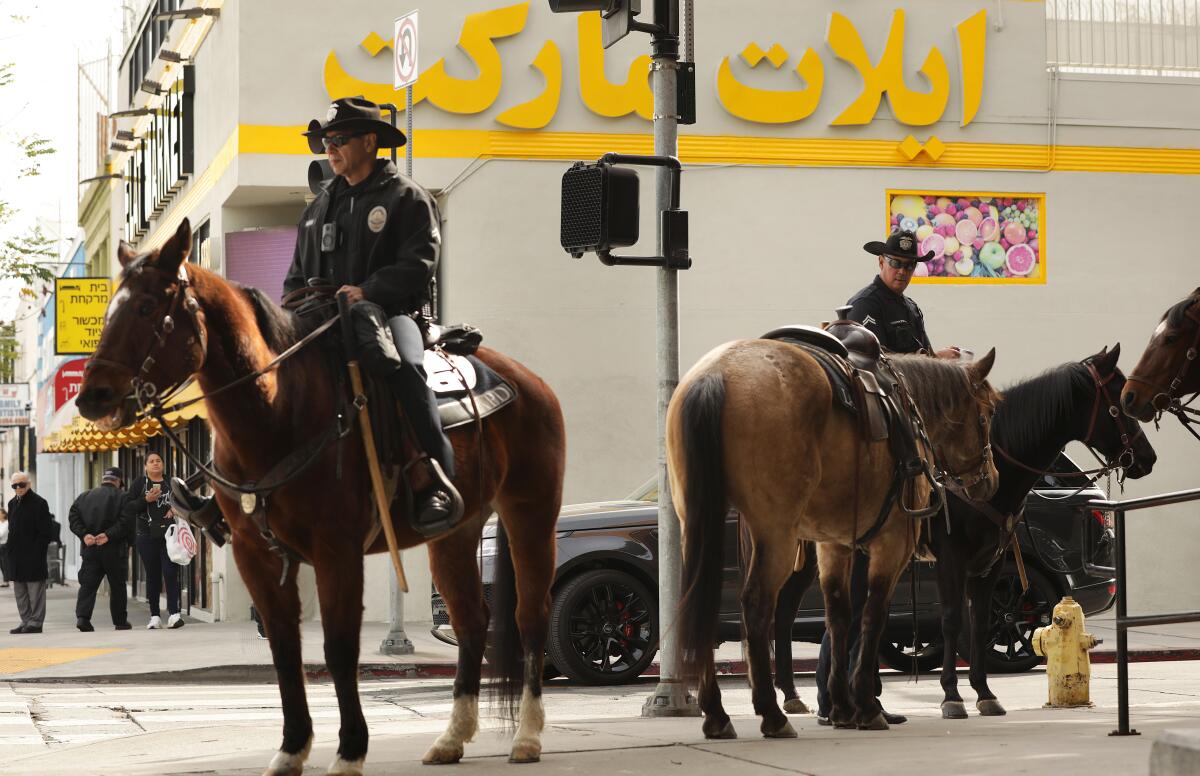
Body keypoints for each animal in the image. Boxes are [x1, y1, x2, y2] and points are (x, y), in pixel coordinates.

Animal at [79, 220, 566, 776]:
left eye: (144, 308)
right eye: (111, 308)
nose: (90, 396)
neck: (277, 412)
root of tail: (528, 380)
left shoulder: (338, 551)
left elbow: (337, 648)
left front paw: (350, 750)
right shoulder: (256, 555)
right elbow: (285, 648)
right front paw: (292, 748)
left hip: (531, 514)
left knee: (529, 616)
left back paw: (527, 736)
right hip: (455, 536)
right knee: (471, 621)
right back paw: (453, 737)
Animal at [672, 340, 998, 738]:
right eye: (987, 415)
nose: (990, 481)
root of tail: (717, 375)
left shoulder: (835, 543)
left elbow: (840, 616)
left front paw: (843, 706)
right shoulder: (893, 543)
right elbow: (873, 614)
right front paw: (867, 706)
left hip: (698, 523)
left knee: (701, 602)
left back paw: (717, 713)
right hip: (775, 534)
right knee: (757, 605)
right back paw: (772, 714)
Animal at [772, 345, 1156, 724]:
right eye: (1119, 400)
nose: (1147, 458)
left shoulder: (991, 563)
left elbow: (981, 623)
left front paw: (984, 693)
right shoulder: (951, 558)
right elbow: (952, 621)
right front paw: (951, 696)